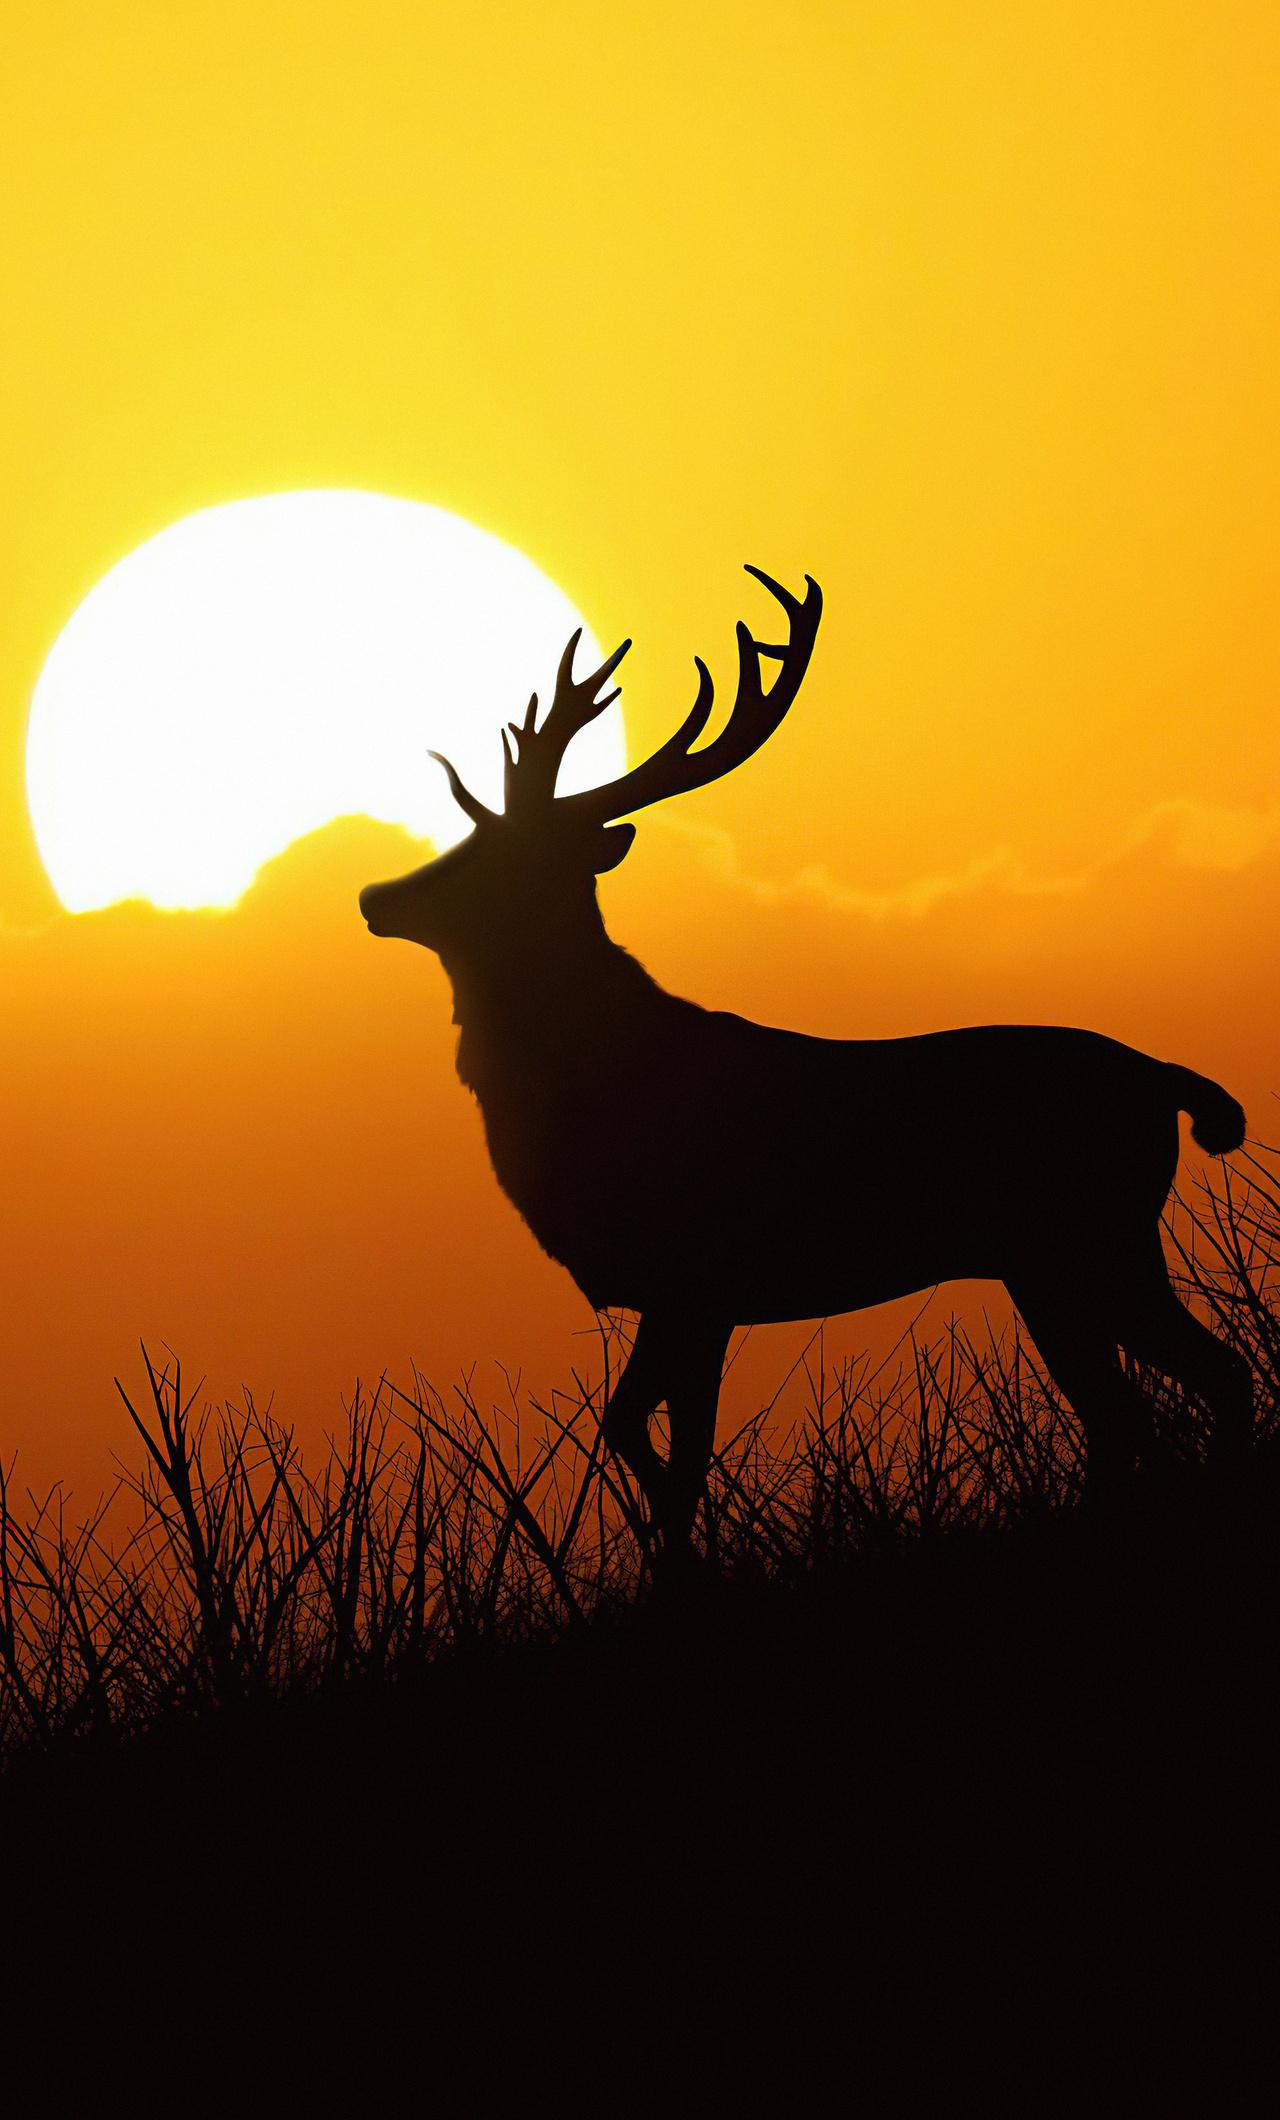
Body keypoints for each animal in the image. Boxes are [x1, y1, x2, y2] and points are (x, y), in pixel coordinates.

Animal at [360, 564, 1251, 1545]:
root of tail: (1166, 1082)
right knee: (1148, 1406)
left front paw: (690, 1559)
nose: (375, 895)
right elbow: (641, 1434)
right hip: (1064, 1260)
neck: (588, 1092)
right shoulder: (681, 1294)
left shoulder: (698, 1277)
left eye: (492, 855)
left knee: (1186, 1389)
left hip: (1089, 1239)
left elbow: (668, 1450)